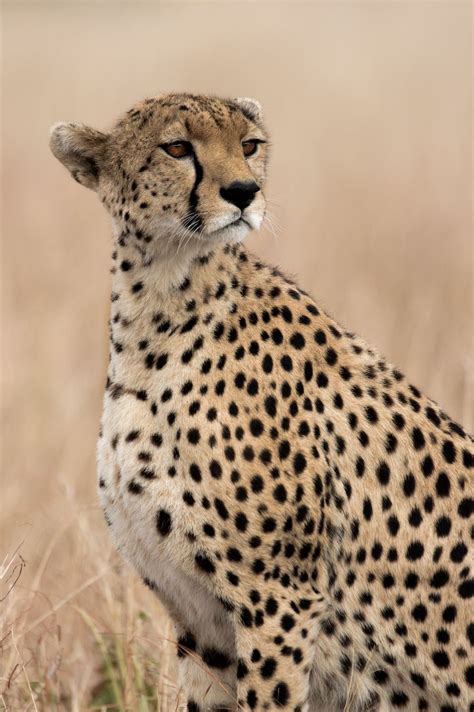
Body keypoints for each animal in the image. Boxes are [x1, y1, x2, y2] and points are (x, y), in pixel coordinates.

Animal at [50, 96, 472, 712]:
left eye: (249, 145)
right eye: (177, 147)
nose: (244, 191)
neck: (159, 305)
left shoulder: (279, 598)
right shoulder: (202, 621)